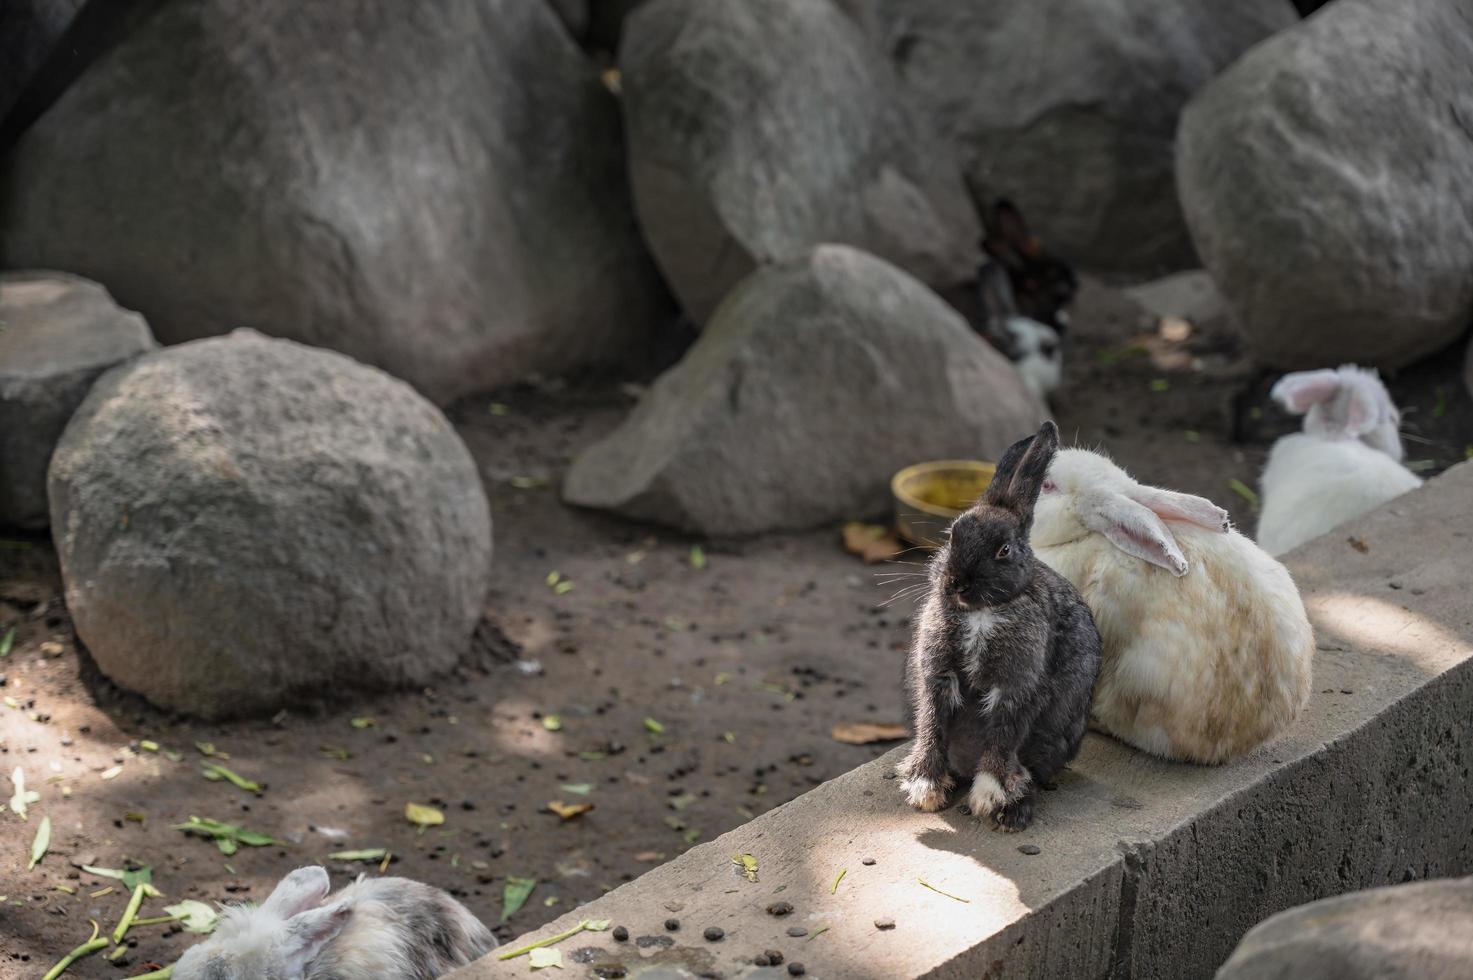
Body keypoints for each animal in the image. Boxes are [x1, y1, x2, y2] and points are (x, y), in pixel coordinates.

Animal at [889, 415, 1101, 831]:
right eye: (952, 535)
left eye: (1003, 550)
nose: (956, 583)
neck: (980, 613)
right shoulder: (937, 676)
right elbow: (932, 725)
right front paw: (925, 790)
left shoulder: (1015, 685)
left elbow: (1004, 735)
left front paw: (989, 796)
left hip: (1053, 739)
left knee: (1034, 772)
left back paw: (1013, 814)